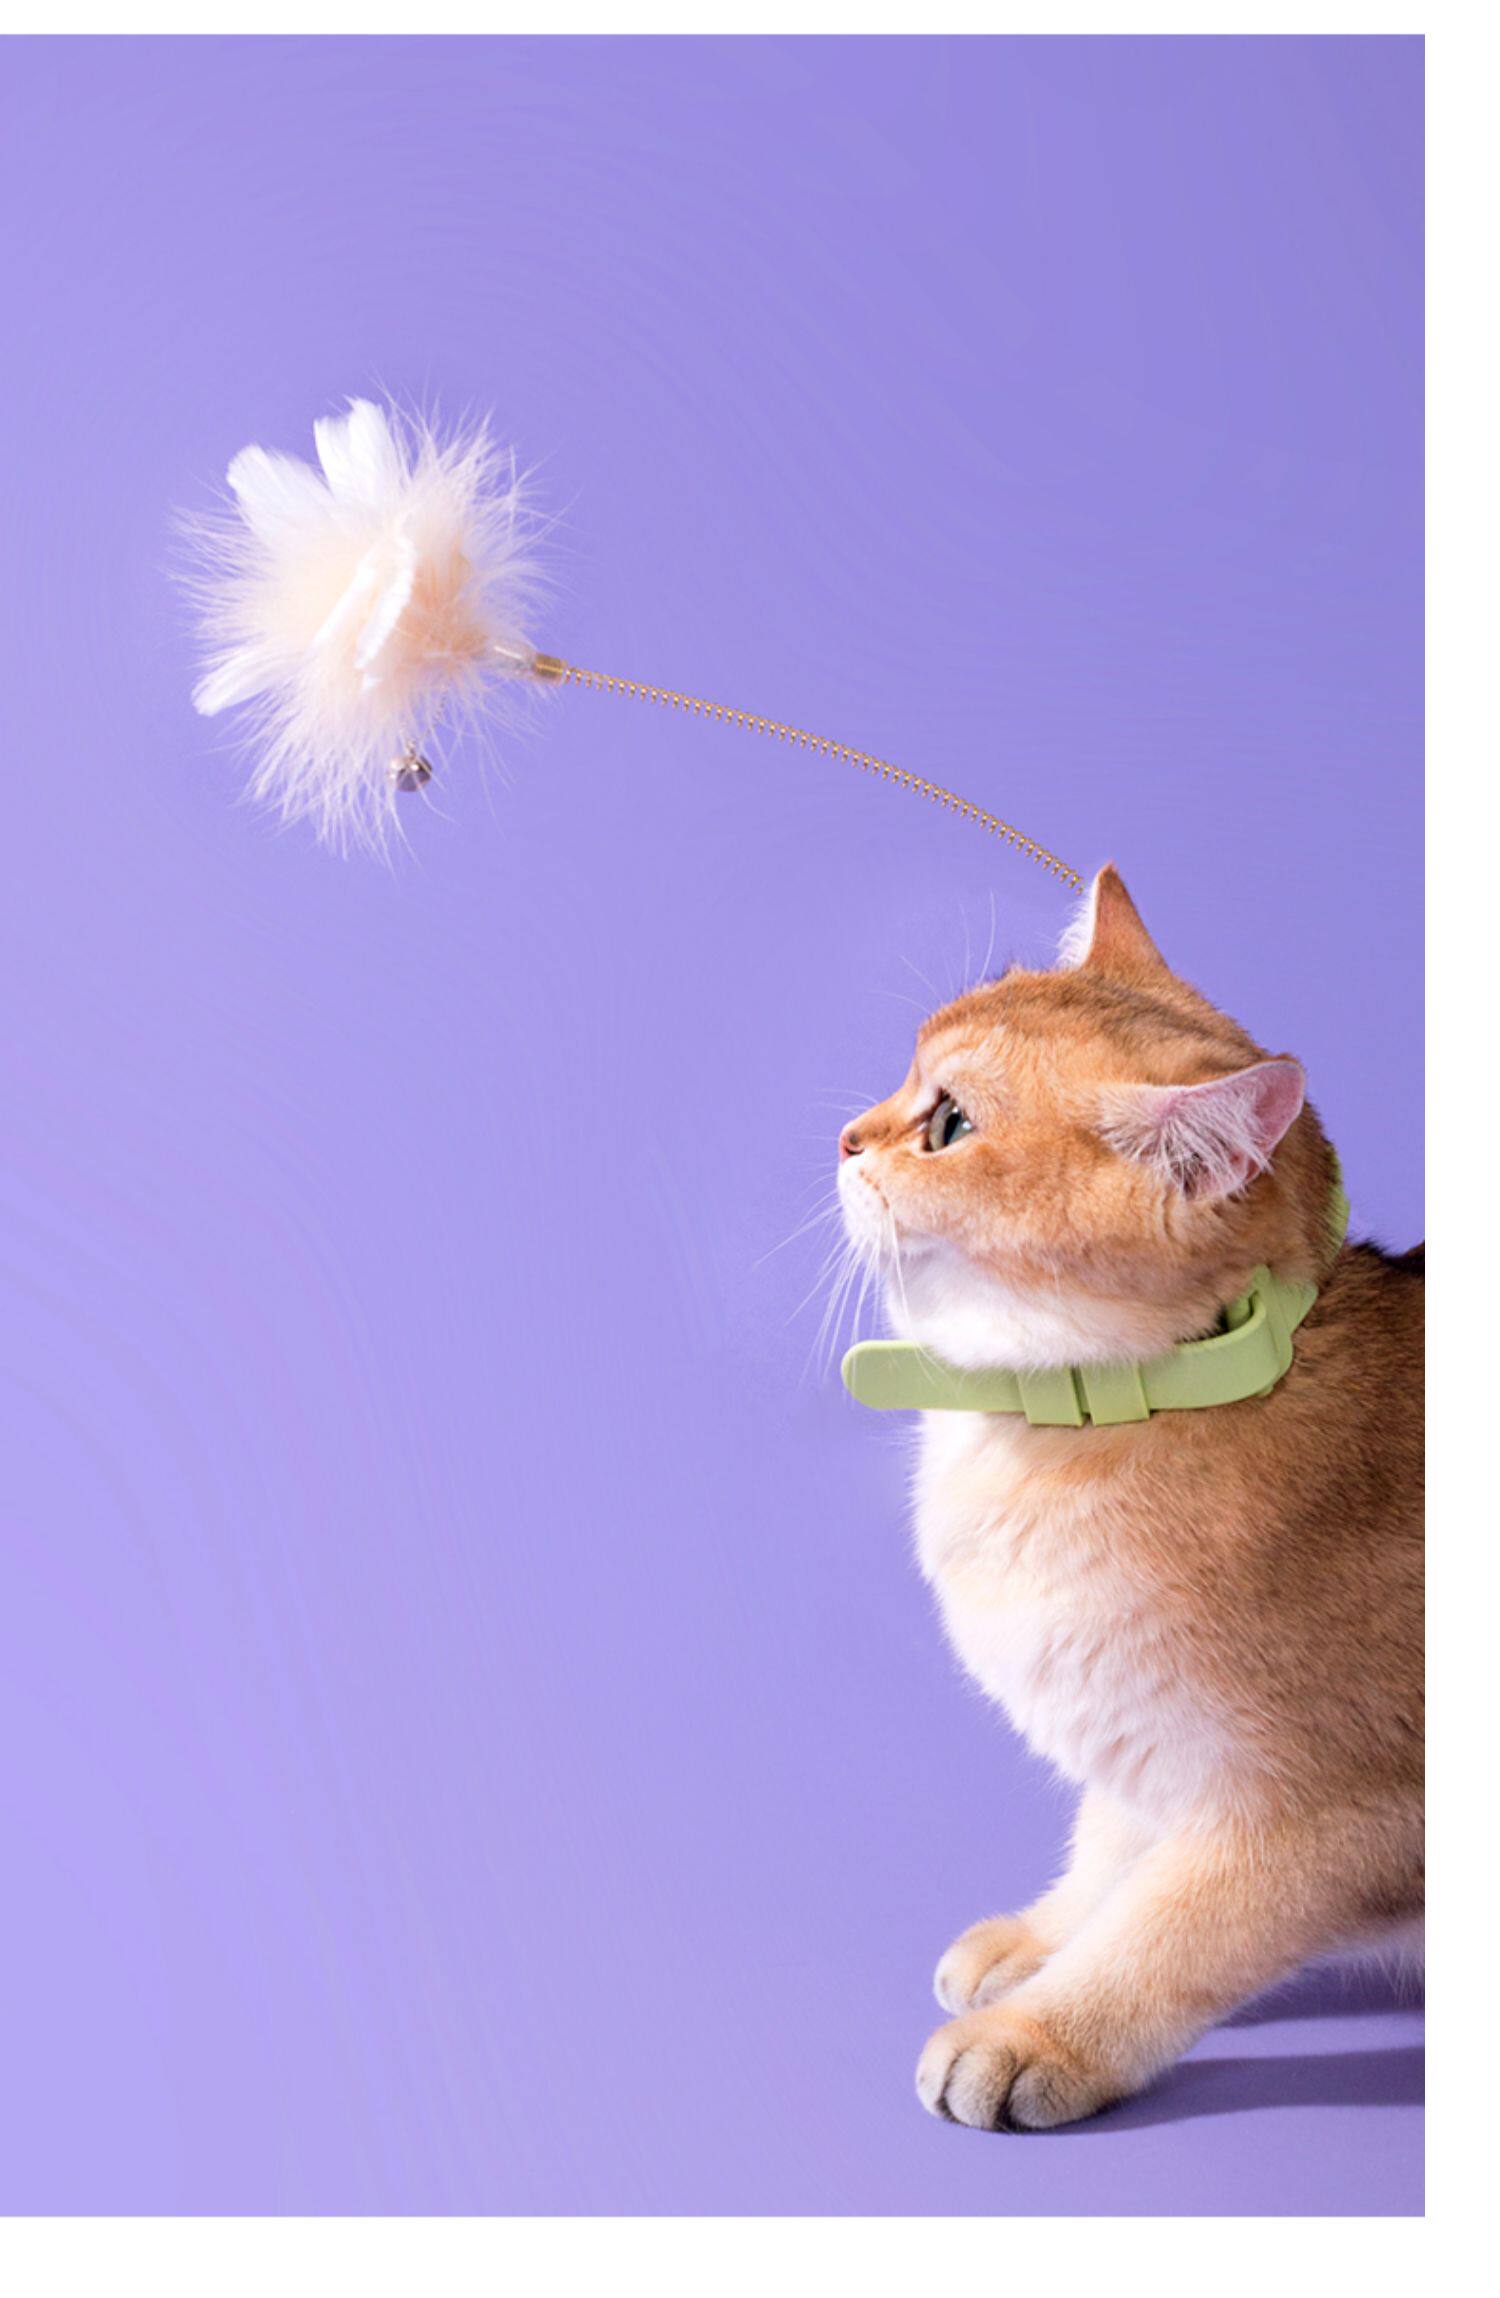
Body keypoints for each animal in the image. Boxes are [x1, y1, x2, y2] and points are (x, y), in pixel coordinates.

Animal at [836, 866, 1423, 2131]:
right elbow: (1113, 1846)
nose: (847, 1136)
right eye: (905, 1077)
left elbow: (1172, 1933)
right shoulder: (1132, 1723)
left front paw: (1040, 2032)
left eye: (949, 1125)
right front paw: (1041, 1940)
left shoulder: (1335, 1816)